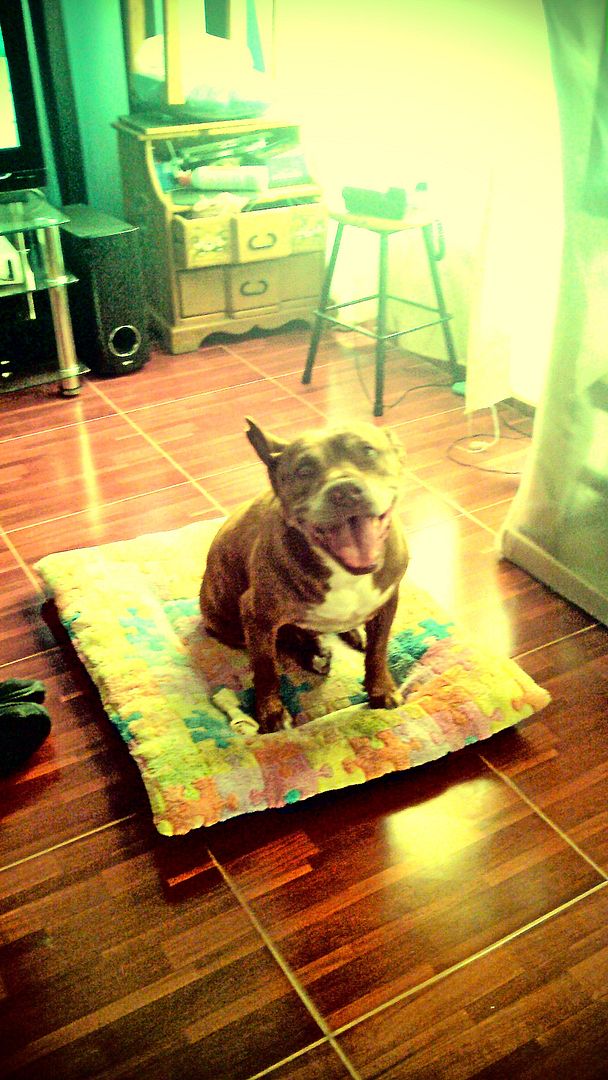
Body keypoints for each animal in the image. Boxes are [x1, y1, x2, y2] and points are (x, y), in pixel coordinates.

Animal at [200, 418, 409, 733]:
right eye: (303, 470)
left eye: (368, 451)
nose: (344, 490)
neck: (344, 573)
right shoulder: (257, 616)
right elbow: (265, 669)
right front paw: (272, 714)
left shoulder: (387, 603)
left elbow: (378, 651)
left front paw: (381, 691)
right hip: (226, 622)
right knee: (287, 640)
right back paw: (315, 652)